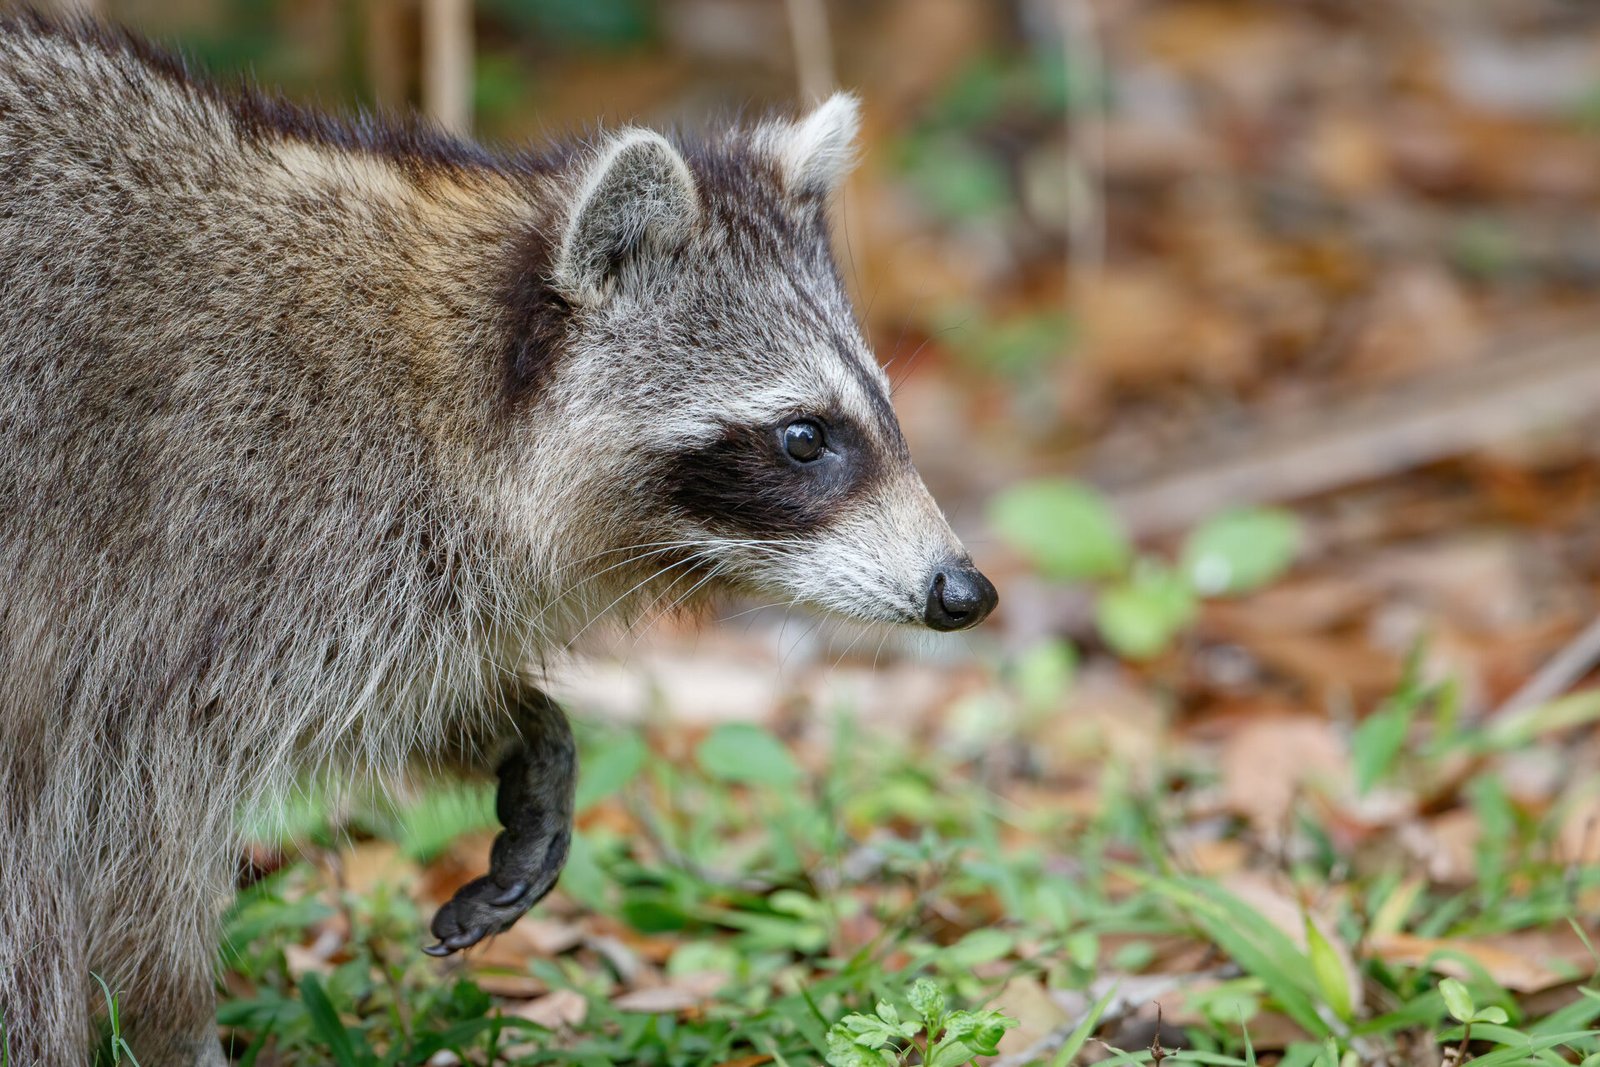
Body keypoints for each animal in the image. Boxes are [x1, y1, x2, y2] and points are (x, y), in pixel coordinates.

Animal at [0, 14, 998, 1066]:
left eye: (883, 411)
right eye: (806, 437)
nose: (964, 591)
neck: (452, 373)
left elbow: (388, 696)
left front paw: (518, 725)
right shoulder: (206, 553)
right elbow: (136, 838)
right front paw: (172, 1021)